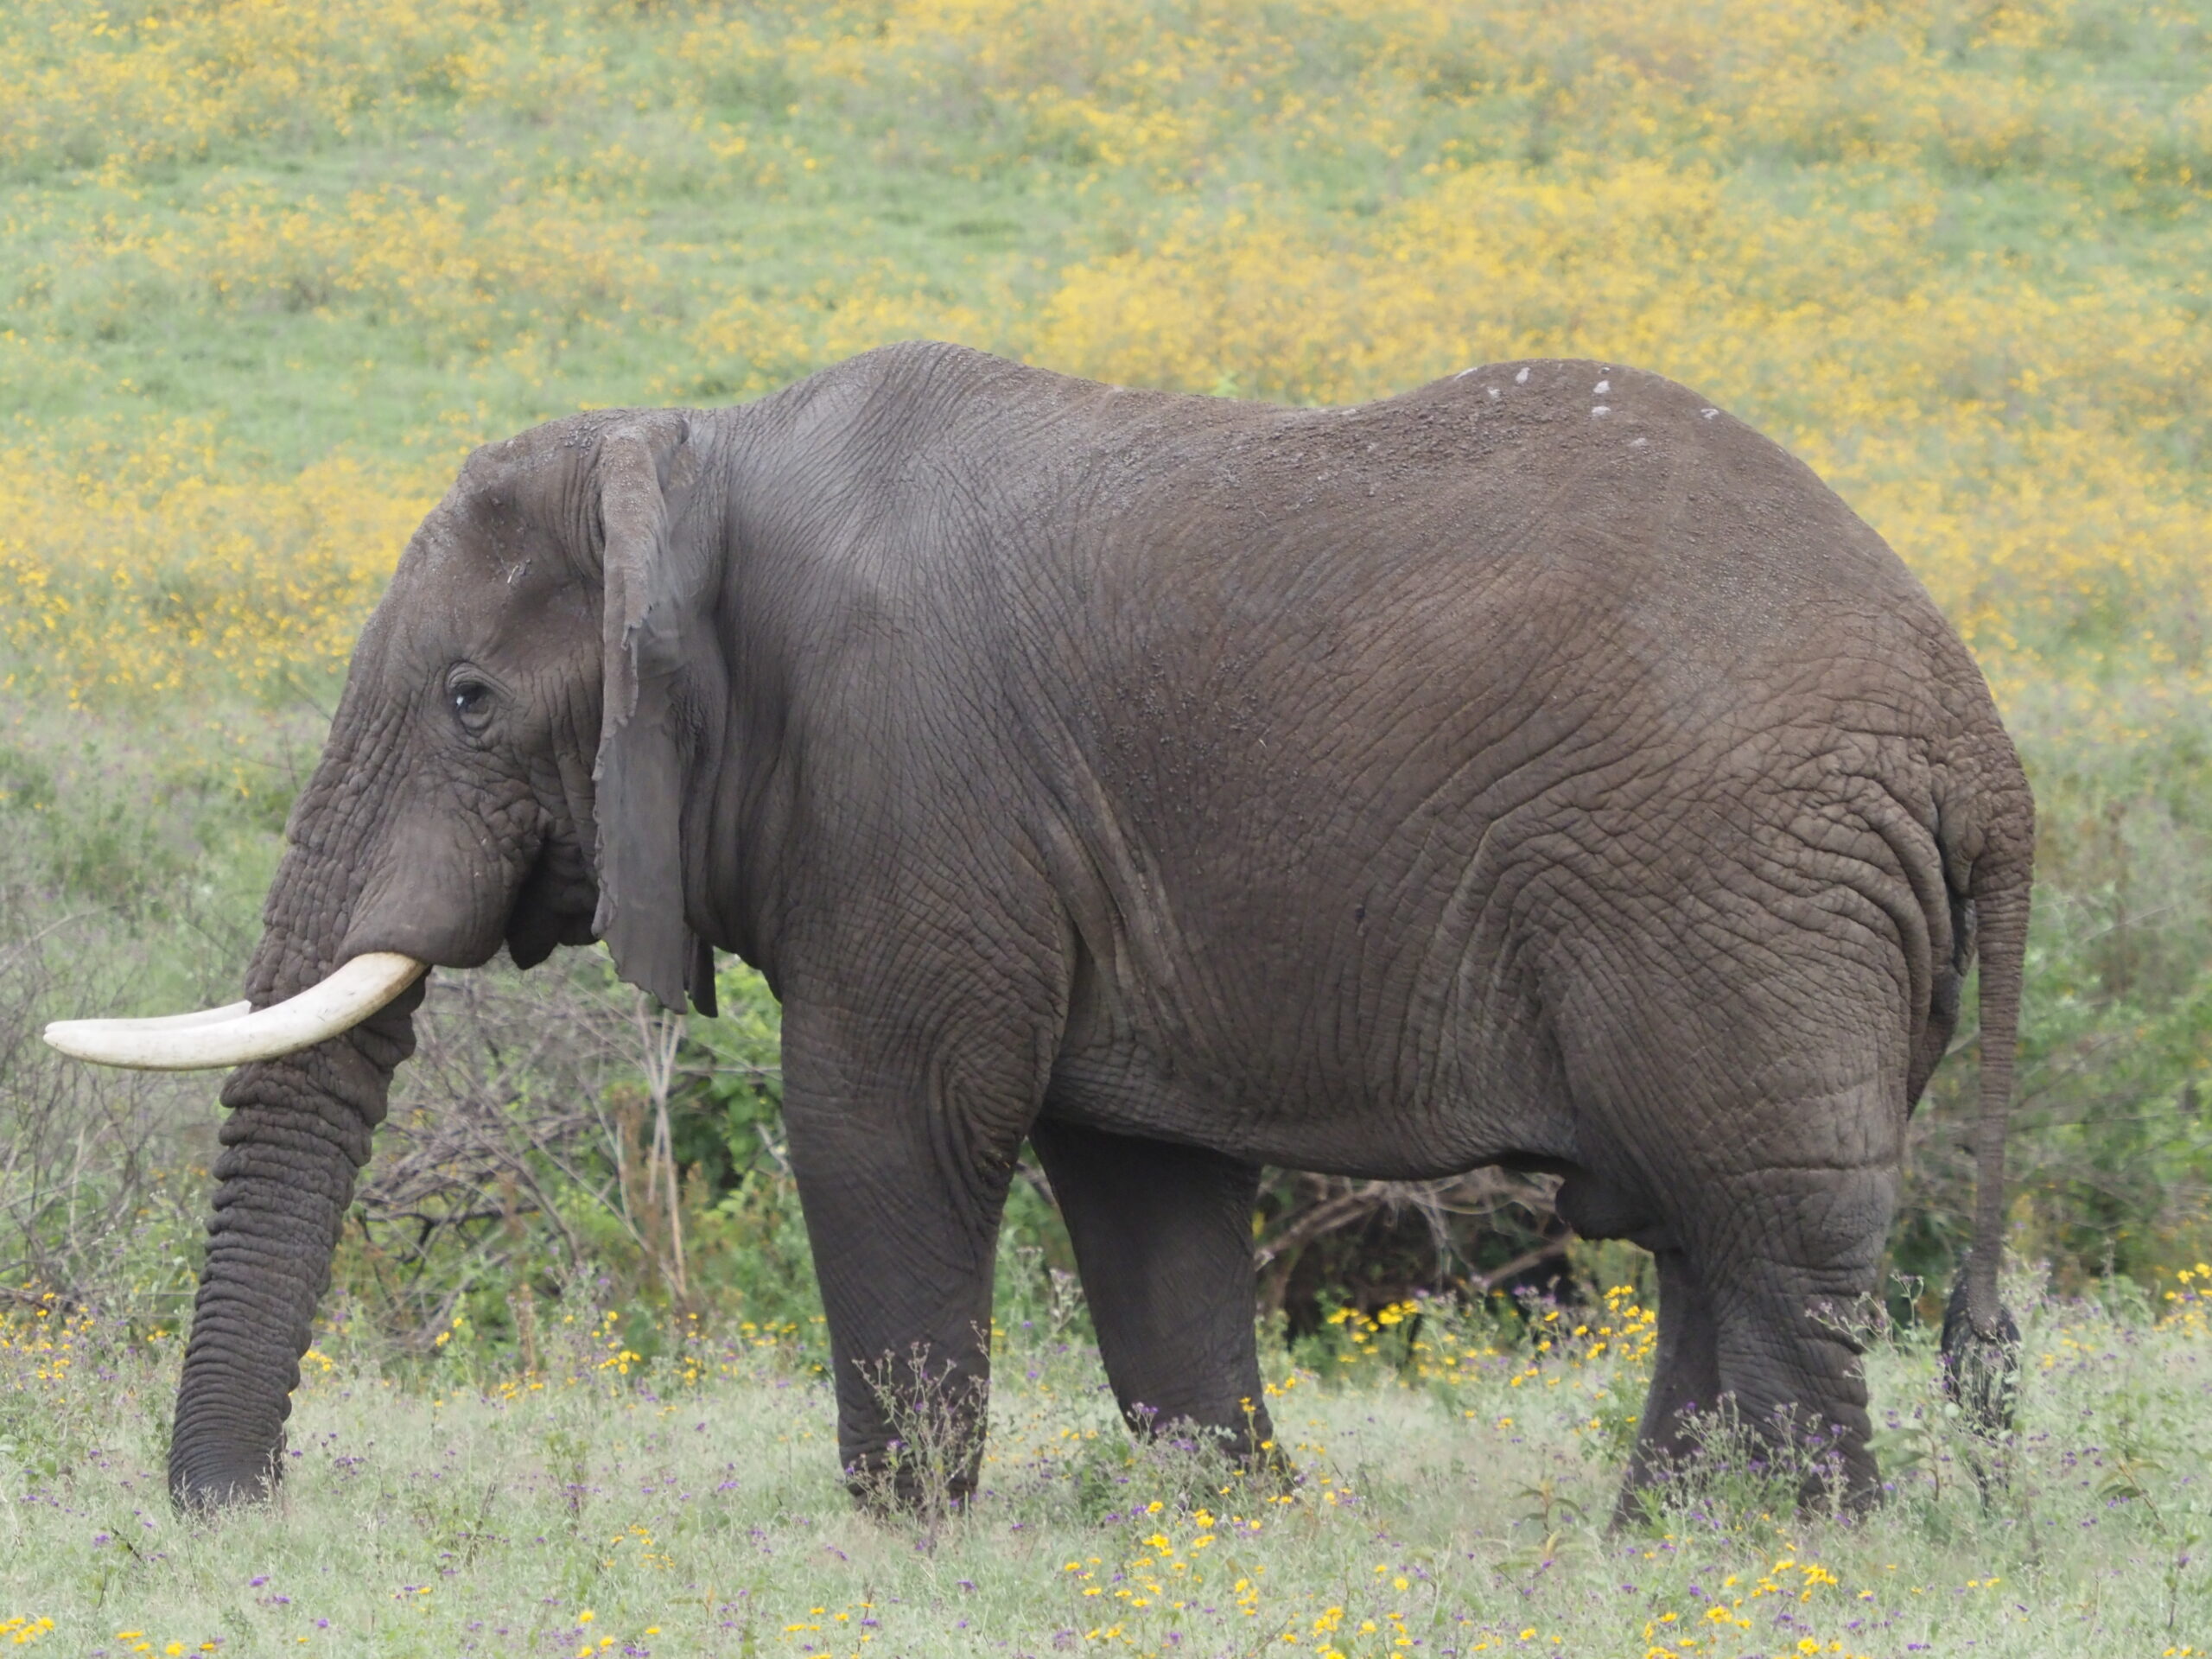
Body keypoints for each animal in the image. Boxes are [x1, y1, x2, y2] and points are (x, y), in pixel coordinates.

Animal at [48, 342, 2032, 1515]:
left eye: (468, 703)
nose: (236, 1509)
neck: (697, 449)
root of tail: (1980, 744)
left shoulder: (907, 775)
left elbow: (885, 1126)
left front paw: (903, 1543)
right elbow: (1140, 1187)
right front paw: (1226, 1529)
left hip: (1740, 888)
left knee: (1769, 1237)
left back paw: (1794, 1561)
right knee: (1707, 1235)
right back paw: (1662, 1556)